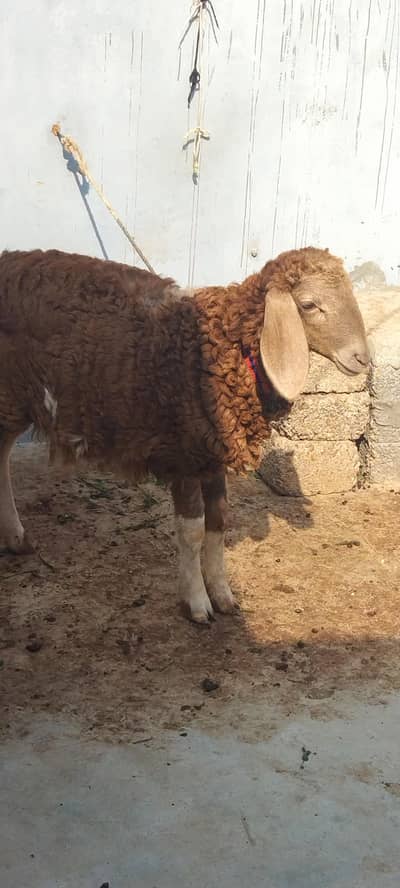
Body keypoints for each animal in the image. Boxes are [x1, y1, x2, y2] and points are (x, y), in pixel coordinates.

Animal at [0, 246, 369, 622]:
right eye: (308, 305)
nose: (362, 358)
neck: (227, 347)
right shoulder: (185, 452)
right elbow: (192, 532)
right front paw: (197, 603)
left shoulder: (212, 455)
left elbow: (219, 523)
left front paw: (223, 595)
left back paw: (16, 539)